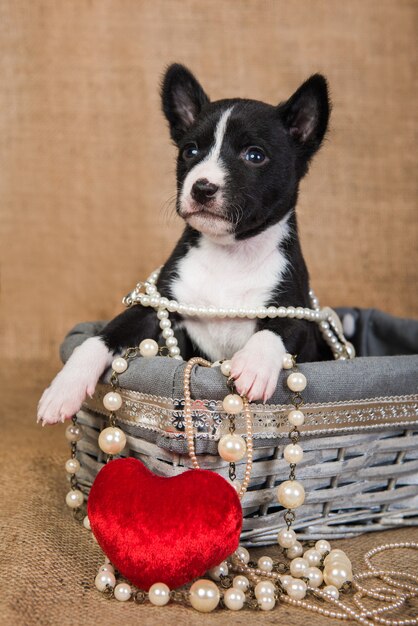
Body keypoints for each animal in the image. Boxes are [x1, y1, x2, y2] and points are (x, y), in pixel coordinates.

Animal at [39, 63, 334, 424]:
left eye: (255, 155)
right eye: (190, 151)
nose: (202, 187)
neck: (230, 255)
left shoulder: (300, 313)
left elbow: (279, 329)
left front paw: (253, 365)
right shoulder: (156, 308)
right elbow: (103, 335)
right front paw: (64, 387)